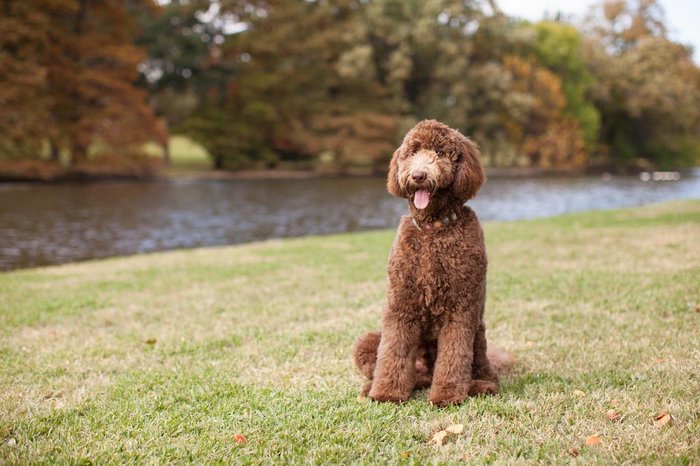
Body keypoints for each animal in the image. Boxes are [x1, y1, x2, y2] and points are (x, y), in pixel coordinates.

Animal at [356, 121, 508, 408]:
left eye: (440, 153)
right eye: (413, 152)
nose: (418, 175)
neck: (432, 228)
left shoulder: (460, 310)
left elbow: (453, 356)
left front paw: (447, 395)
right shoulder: (400, 304)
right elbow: (393, 351)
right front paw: (387, 392)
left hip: (479, 337)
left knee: (482, 372)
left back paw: (478, 385)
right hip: (367, 341)